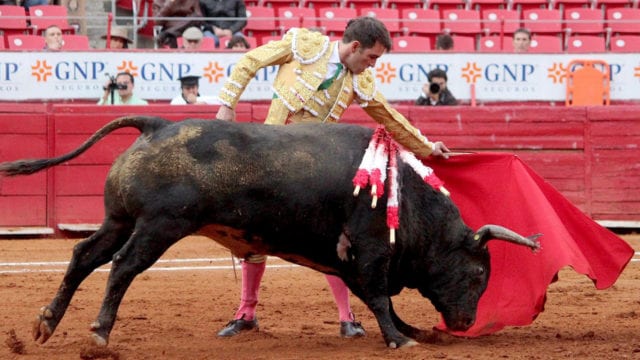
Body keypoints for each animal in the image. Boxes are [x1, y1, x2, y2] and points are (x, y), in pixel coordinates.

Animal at [0, 117, 540, 348]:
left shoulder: (348, 257)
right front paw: (399, 339)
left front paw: (410, 332)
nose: (467, 323)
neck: (406, 197)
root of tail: (156, 124)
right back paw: (99, 332)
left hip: (120, 220)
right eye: (478, 274)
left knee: (83, 257)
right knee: (123, 266)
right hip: (160, 226)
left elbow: (376, 298)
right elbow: (379, 295)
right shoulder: (368, 248)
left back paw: (46, 324)